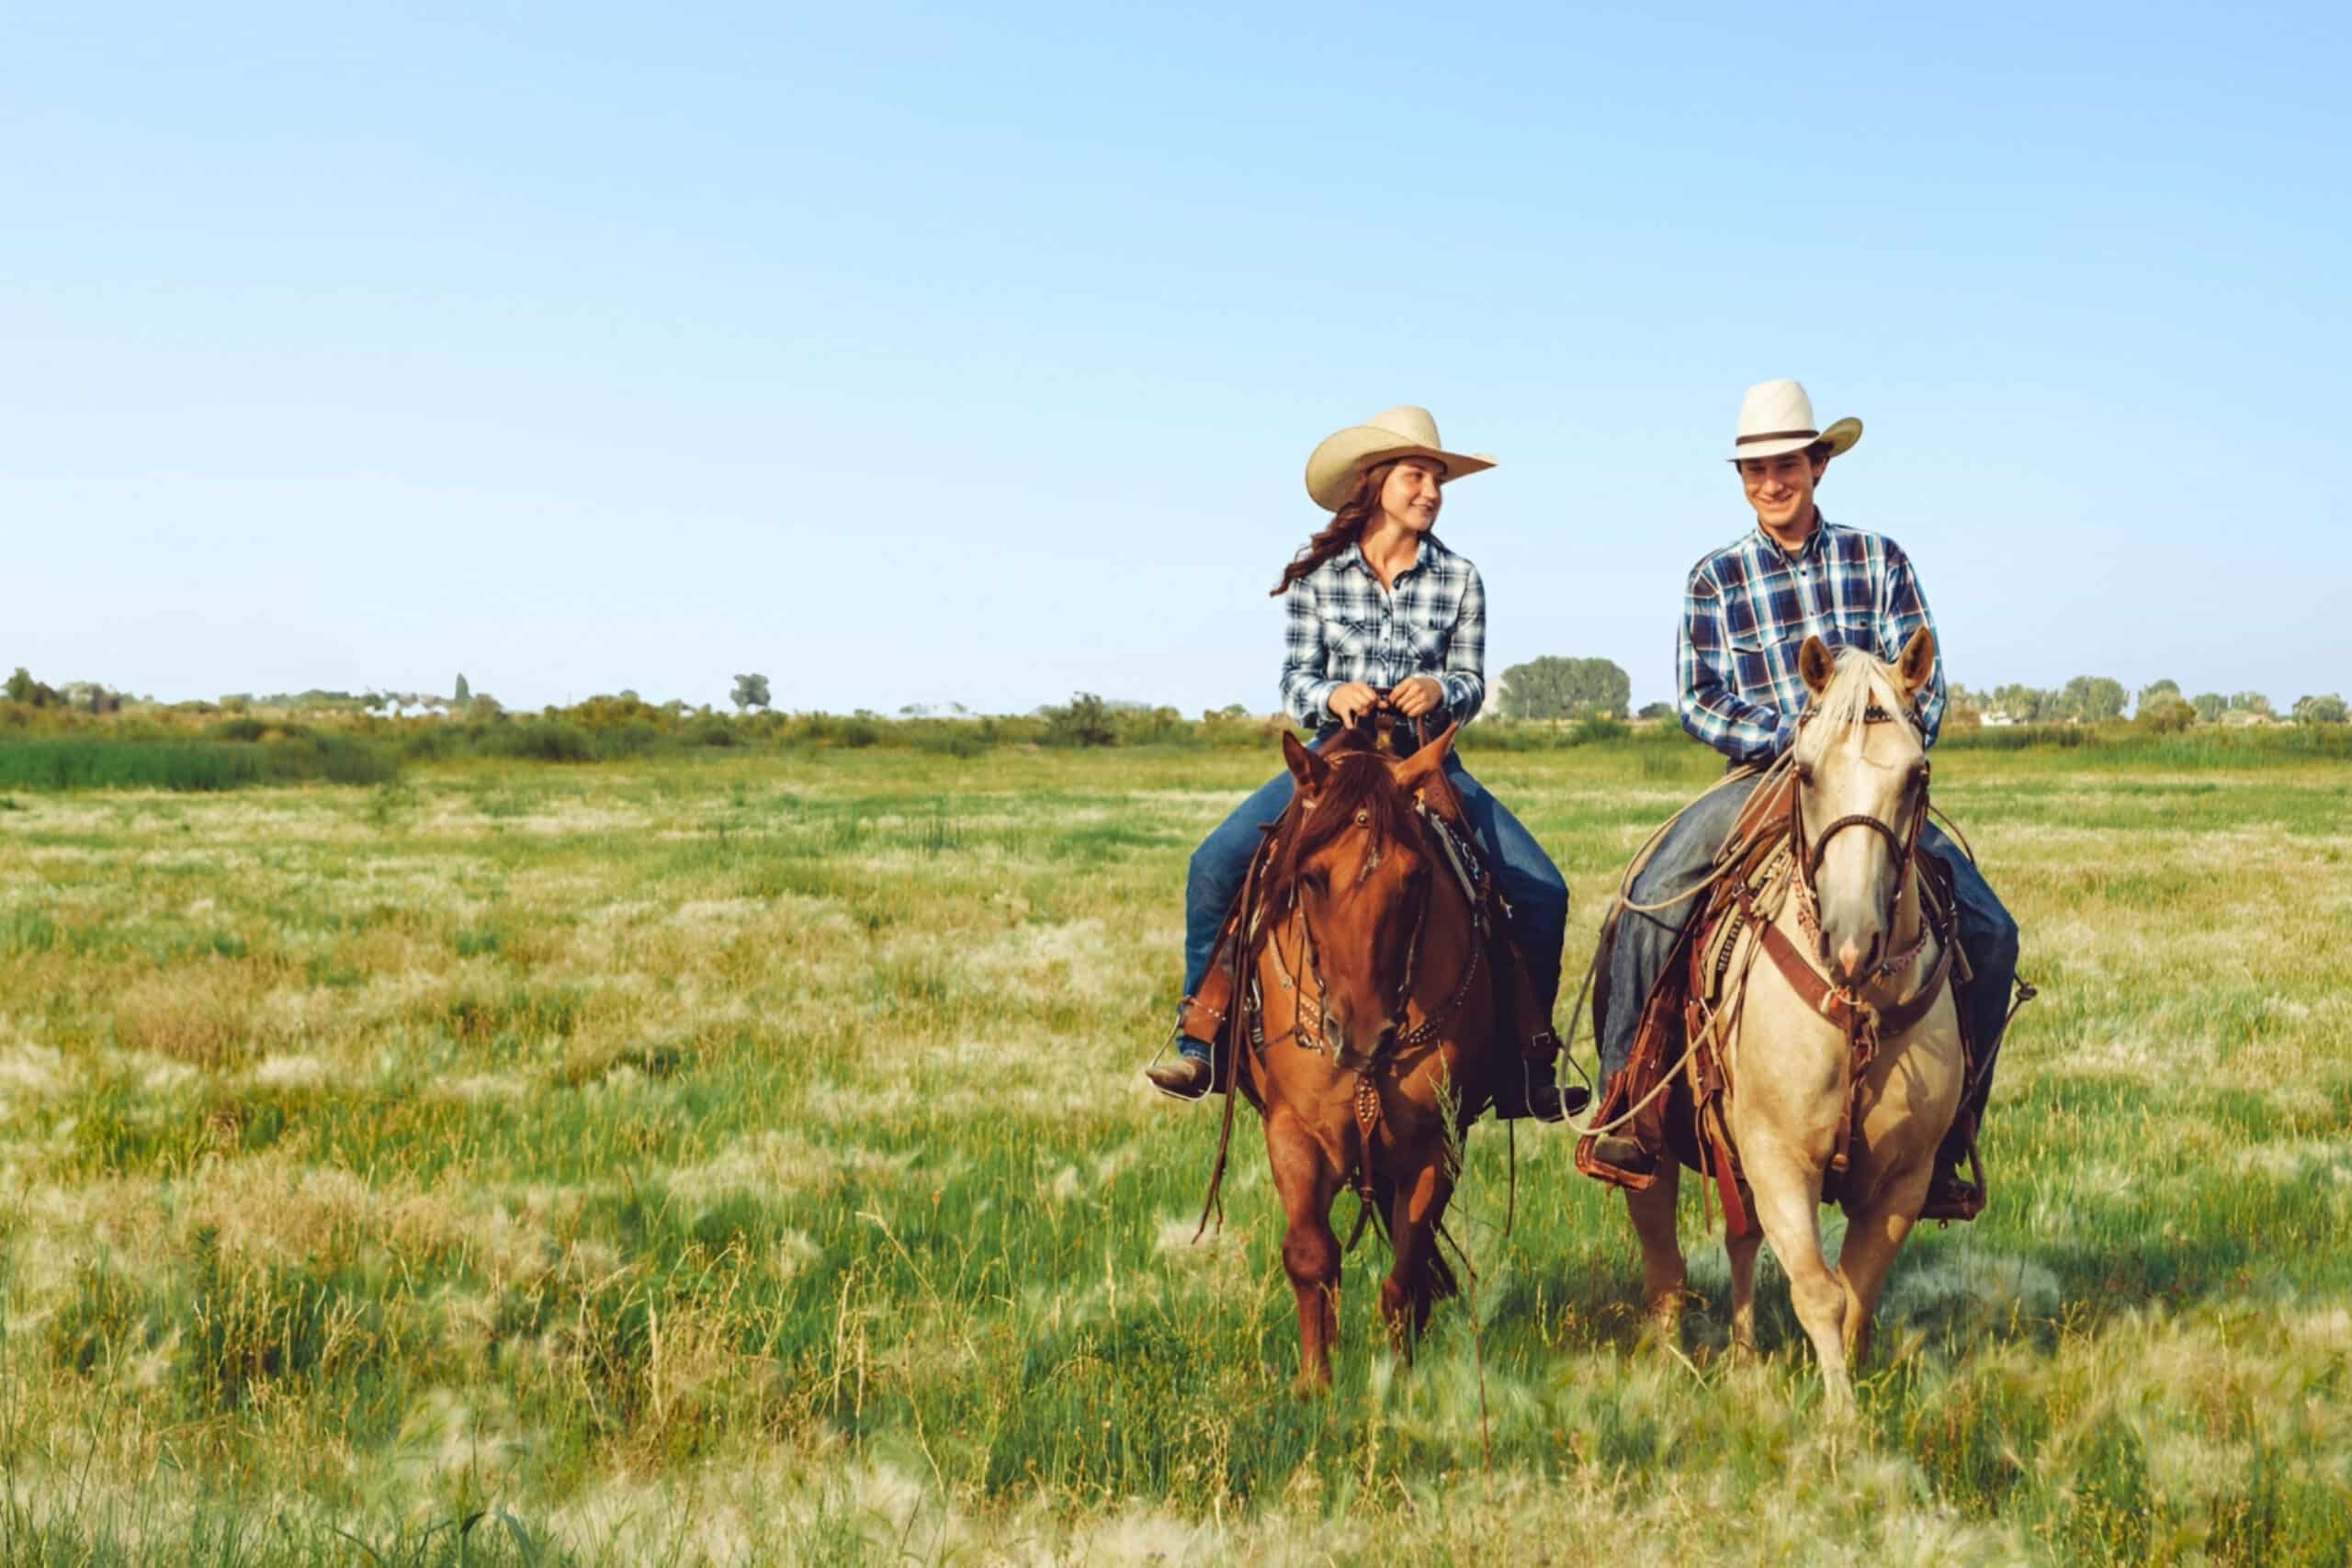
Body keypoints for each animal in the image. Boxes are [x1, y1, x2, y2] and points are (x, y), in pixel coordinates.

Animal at [1213, 719, 1505, 1382]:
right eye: (1313, 877)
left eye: (1417, 876)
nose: (1363, 1034)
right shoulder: (1294, 1127)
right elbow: (1310, 1255)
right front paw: (1315, 1383)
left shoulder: (1436, 1137)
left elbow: (1406, 1270)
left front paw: (1397, 1380)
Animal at [1618, 629, 1966, 1419]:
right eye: (1803, 771)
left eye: (1917, 773)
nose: (1852, 940)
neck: (1858, 1006)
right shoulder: (1780, 1157)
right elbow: (1816, 1288)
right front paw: (1840, 1417)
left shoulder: (1905, 1178)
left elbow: (1856, 1291)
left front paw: (1851, 1391)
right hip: (1653, 1135)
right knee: (1662, 1248)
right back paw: (1670, 1358)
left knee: (1741, 1239)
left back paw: (1745, 1358)